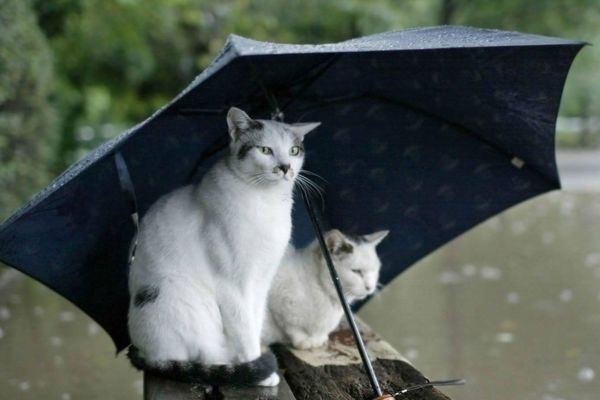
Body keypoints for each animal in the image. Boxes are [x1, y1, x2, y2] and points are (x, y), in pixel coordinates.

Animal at [126, 108, 322, 386]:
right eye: (265, 150)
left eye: (294, 151)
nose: (285, 167)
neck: (267, 202)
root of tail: (143, 352)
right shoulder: (232, 285)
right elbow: (244, 329)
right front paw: (259, 372)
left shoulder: (261, 282)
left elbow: (255, 321)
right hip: (183, 298)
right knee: (202, 355)